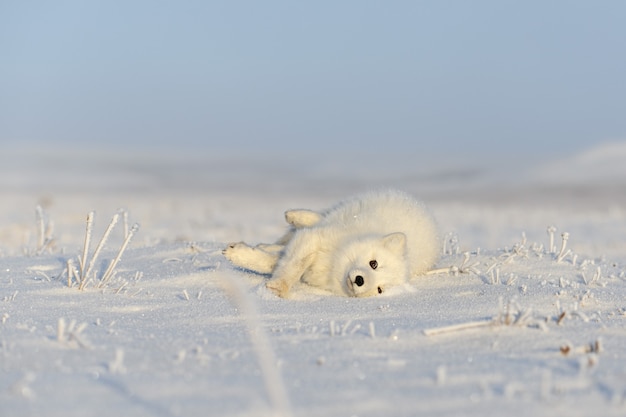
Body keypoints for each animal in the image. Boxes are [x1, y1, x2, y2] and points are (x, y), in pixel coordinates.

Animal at [223, 188, 438, 296]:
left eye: (379, 289)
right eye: (374, 264)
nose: (360, 280)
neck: (335, 264)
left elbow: (276, 261)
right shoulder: (316, 239)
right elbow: (293, 263)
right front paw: (279, 286)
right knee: (319, 217)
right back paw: (294, 215)